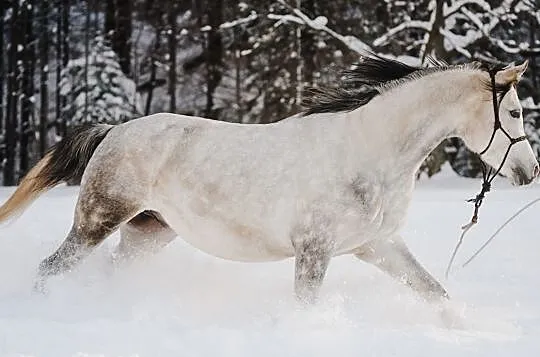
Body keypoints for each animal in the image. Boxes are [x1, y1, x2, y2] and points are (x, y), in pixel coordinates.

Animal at [0, 55, 536, 304]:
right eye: (513, 112)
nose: (530, 172)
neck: (369, 152)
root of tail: (114, 130)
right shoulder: (314, 251)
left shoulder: (378, 245)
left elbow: (435, 294)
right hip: (98, 220)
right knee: (48, 269)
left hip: (148, 232)